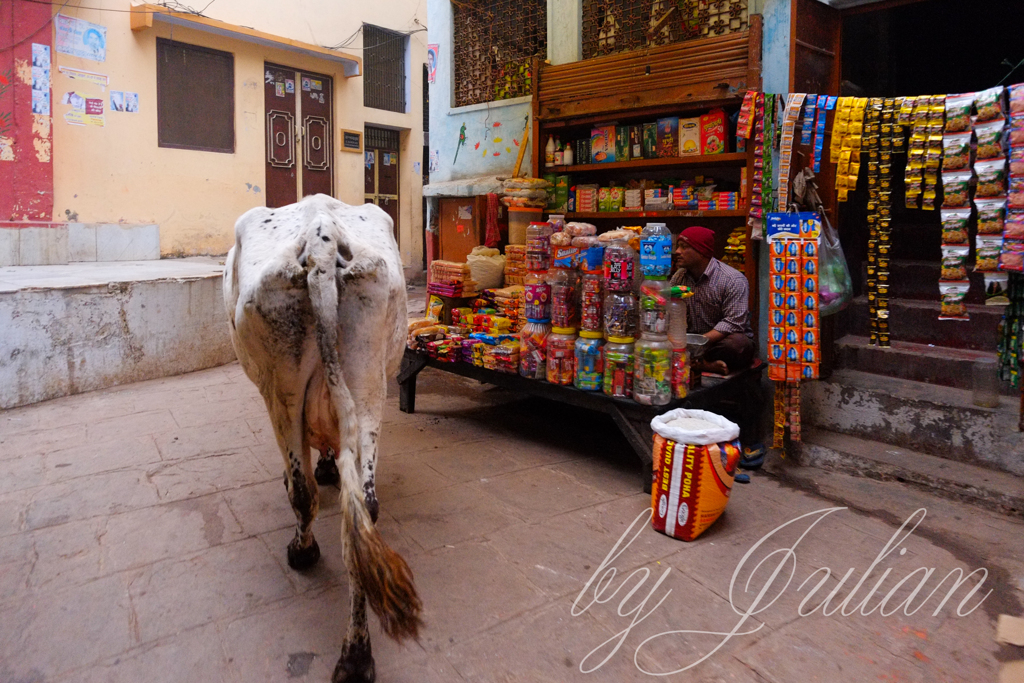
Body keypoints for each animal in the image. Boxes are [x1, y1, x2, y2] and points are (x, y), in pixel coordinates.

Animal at [223, 194, 419, 679]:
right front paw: (330, 464)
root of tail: (321, 239)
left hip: (283, 391)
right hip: (368, 386)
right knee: (364, 510)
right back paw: (356, 653)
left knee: (302, 492)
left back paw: (303, 551)